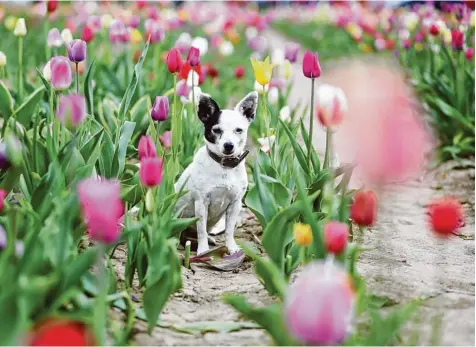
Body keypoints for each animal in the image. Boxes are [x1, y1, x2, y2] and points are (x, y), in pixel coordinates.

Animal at [174, 92, 256, 256]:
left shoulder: (235, 204)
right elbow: (201, 231)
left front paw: (231, 248)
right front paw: (203, 251)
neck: (224, 167)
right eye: (216, 130)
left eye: (239, 130)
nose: (228, 145)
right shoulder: (201, 203)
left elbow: (229, 231)